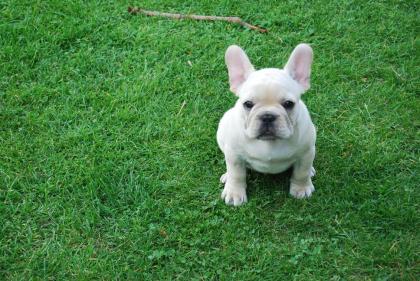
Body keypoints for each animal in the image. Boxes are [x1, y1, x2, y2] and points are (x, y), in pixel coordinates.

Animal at [217, 43, 316, 206]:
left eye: (288, 104)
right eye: (248, 104)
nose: (267, 116)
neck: (270, 142)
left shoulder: (306, 152)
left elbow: (301, 172)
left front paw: (301, 188)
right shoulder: (234, 155)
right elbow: (236, 174)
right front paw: (234, 192)